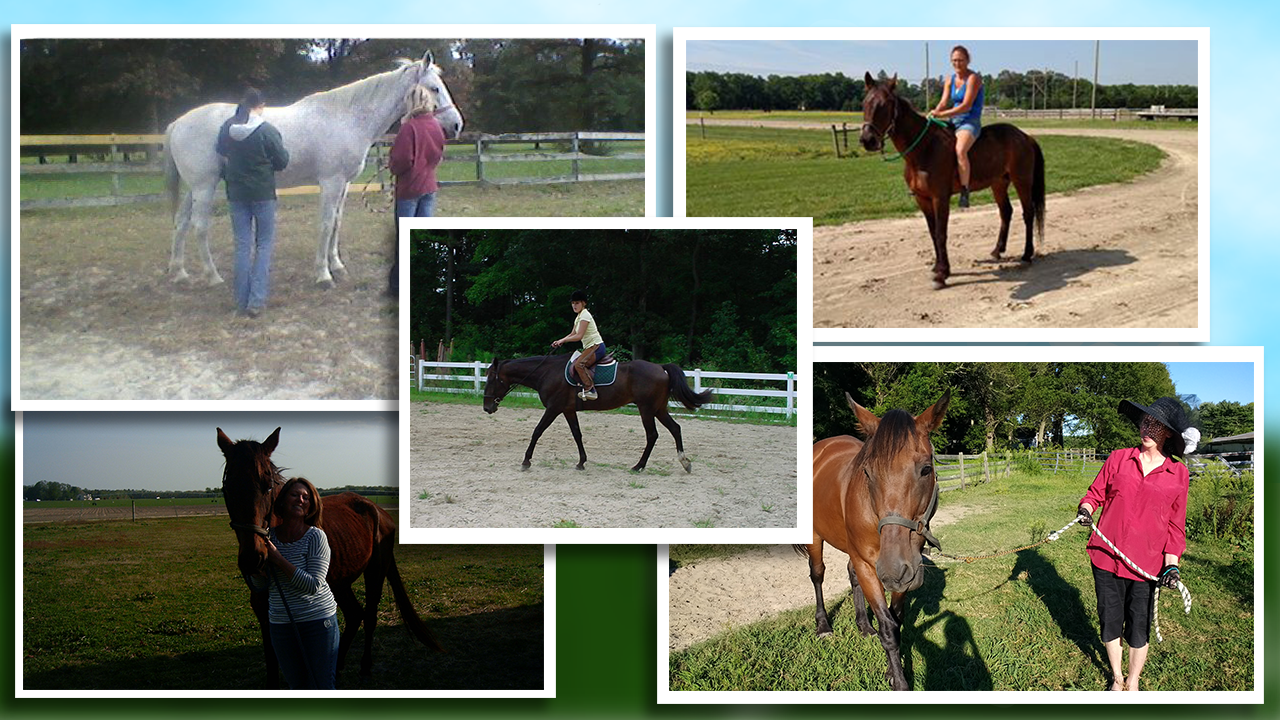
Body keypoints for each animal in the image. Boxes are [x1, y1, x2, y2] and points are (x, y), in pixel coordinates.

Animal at [166, 51, 463, 288]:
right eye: (434, 88)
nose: (457, 125)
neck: (347, 118)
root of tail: (177, 123)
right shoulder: (331, 182)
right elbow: (326, 223)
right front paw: (323, 275)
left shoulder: (344, 184)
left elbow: (337, 223)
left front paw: (337, 266)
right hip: (205, 186)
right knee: (199, 226)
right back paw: (213, 276)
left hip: (194, 188)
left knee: (181, 222)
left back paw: (179, 273)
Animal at [216, 426, 443, 688]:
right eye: (227, 486)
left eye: (268, 486)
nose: (254, 558)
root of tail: (378, 511)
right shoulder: (263, 608)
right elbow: (272, 662)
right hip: (339, 582)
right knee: (355, 614)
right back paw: (337, 667)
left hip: (374, 572)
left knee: (370, 616)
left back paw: (365, 667)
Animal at [482, 354, 714, 472]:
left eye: (492, 378)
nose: (487, 407)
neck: (547, 372)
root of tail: (661, 367)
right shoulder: (567, 410)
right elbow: (577, 434)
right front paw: (581, 462)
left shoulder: (553, 409)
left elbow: (537, 431)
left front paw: (526, 461)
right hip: (658, 409)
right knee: (675, 429)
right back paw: (685, 462)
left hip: (647, 409)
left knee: (652, 435)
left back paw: (638, 466)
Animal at [796, 390, 950, 691]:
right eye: (867, 472)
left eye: (926, 469)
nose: (891, 569)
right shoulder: (871, 565)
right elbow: (888, 627)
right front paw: (899, 681)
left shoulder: (905, 571)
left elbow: (895, 618)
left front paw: (891, 667)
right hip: (816, 539)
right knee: (817, 574)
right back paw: (823, 626)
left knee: (851, 574)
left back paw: (864, 626)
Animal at [859, 73, 1045, 289]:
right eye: (865, 103)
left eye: (885, 104)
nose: (867, 140)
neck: (923, 149)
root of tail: (1024, 136)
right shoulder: (923, 200)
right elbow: (933, 233)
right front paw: (938, 267)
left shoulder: (940, 198)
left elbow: (941, 233)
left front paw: (942, 274)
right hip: (998, 184)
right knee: (1006, 212)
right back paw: (997, 250)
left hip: (1022, 181)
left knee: (1028, 213)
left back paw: (1026, 255)